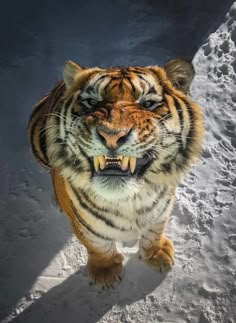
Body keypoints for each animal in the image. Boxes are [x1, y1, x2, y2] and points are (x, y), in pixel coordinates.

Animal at [27, 58, 204, 288]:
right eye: (92, 102)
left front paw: (157, 255)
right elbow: (97, 244)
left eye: (147, 104)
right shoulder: (84, 225)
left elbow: (154, 231)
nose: (111, 135)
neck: (130, 200)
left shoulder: (161, 210)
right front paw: (106, 273)